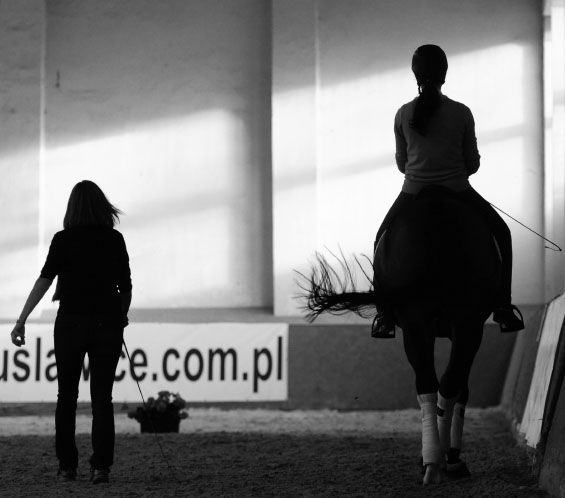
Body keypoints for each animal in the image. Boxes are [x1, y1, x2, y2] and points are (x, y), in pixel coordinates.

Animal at [302, 186, 500, 482]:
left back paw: (432, 461)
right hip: (464, 326)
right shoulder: (467, 328)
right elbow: (461, 389)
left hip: (420, 326)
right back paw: (439, 461)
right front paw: (453, 458)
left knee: (429, 384)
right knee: (447, 384)